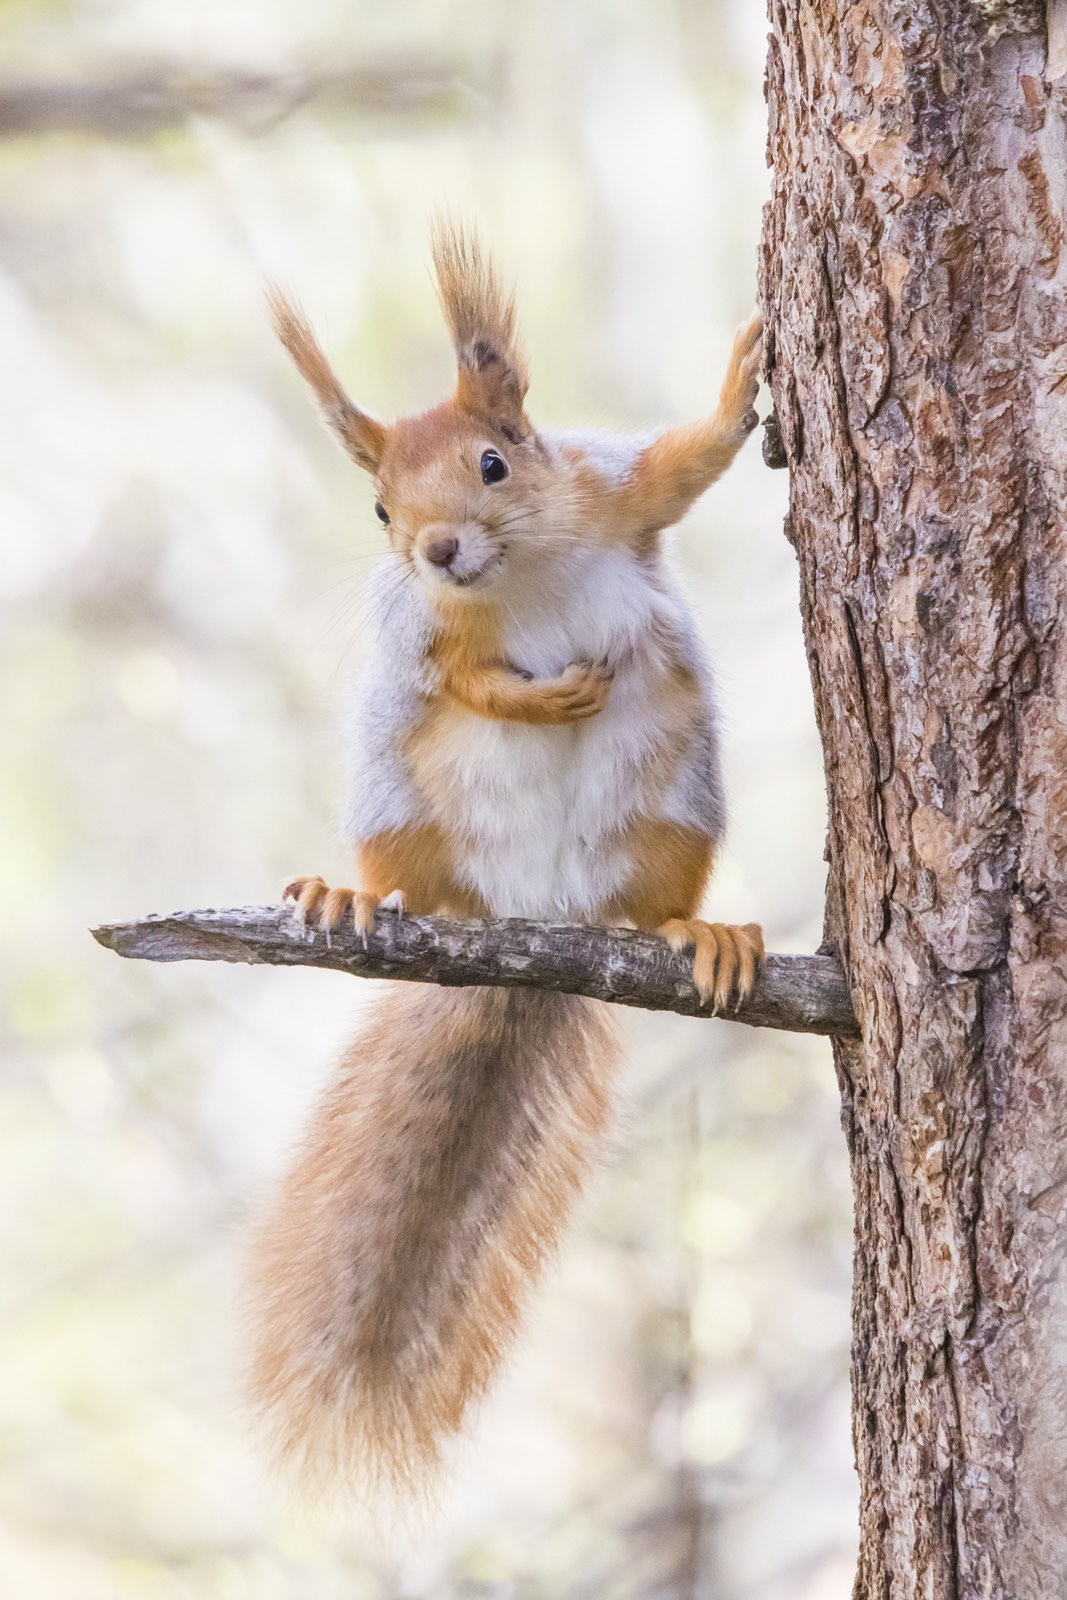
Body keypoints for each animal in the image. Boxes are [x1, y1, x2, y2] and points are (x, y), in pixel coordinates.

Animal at [247, 219, 767, 1491]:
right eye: (377, 510)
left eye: (494, 462)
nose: (436, 550)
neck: (514, 570)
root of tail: (531, 927)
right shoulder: (425, 640)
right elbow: (464, 680)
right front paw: (534, 698)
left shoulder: (611, 491)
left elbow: (685, 465)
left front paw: (739, 384)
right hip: (401, 804)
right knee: (412, 880)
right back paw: (351, 896)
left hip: (674, 808)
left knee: (650, 909)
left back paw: (701, 932)